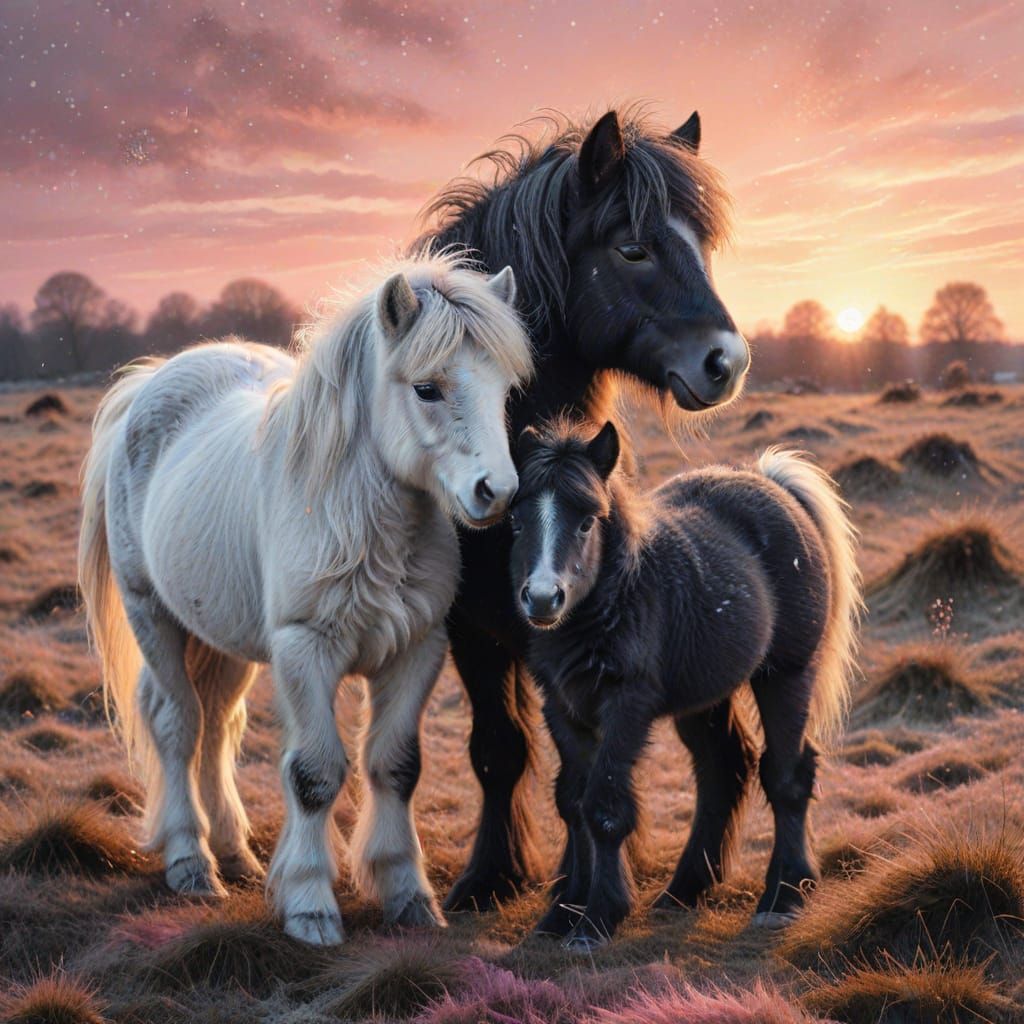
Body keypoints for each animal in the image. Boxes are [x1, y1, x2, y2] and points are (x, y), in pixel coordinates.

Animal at [77, 255, 533, 945]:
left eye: (503, 389)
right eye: (426, 388)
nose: (497, 493)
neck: (359, 518)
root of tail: (153, 380)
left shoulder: (416, 651)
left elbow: (396, 766)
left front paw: (409, 897)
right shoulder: (305, 651)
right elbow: (315, 775)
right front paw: (311, 907)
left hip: (222, 640)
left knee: (216, 727)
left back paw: (236, 855)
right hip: (152, 615)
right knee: (178, 724)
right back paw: (192, 862)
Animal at [413, 106, 750, 910]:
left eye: (703, 247)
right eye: (632, 247)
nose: (727, 362)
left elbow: (581, 777)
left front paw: (576, 892)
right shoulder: (471, 628)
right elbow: (499, 752)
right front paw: (489, 878)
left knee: (724, 754)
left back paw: (691, 883)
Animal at [507, 418, 861, 950]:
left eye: (588, 521)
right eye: (517, 520)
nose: (544, 598)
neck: (618, 597)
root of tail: (774, 486)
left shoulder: (626, 705)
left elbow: (604, 807)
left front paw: (596, 920)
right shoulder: (562, 707)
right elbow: (572, 802)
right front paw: (562, 914)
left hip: (786, 675)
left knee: (787, 776)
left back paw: (784, 897)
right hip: (705, 699)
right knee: (723, 770)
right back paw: (683, 890)